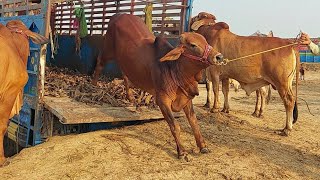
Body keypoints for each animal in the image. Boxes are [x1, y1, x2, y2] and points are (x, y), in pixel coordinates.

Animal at [91, 14, 224, 160]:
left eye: (205, 41)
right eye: (193, 45)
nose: (219, 57)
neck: (172, 69)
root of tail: (117, 15)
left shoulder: (186, 99)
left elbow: (194, 122)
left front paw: (203, 146)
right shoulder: (162, 101)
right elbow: (175, 125)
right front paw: (182, 151)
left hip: (124, 59)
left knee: (125, 74)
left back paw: (131, 98)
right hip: (108, 50)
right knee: (99, 64)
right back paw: (93, 86)